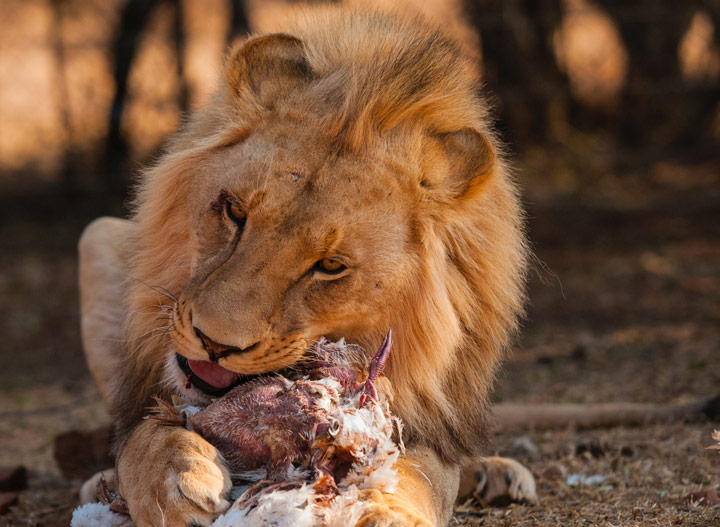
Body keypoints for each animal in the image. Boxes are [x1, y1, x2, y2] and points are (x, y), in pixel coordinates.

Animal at [80, 8, 536, 527]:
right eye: (234, 211)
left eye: (331, 265)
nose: (215, 344)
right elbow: (143, 437)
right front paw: (178, 480)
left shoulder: (420, 419)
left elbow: (417, 472)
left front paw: (383, 509)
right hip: (96, 234)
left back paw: (497, 472)